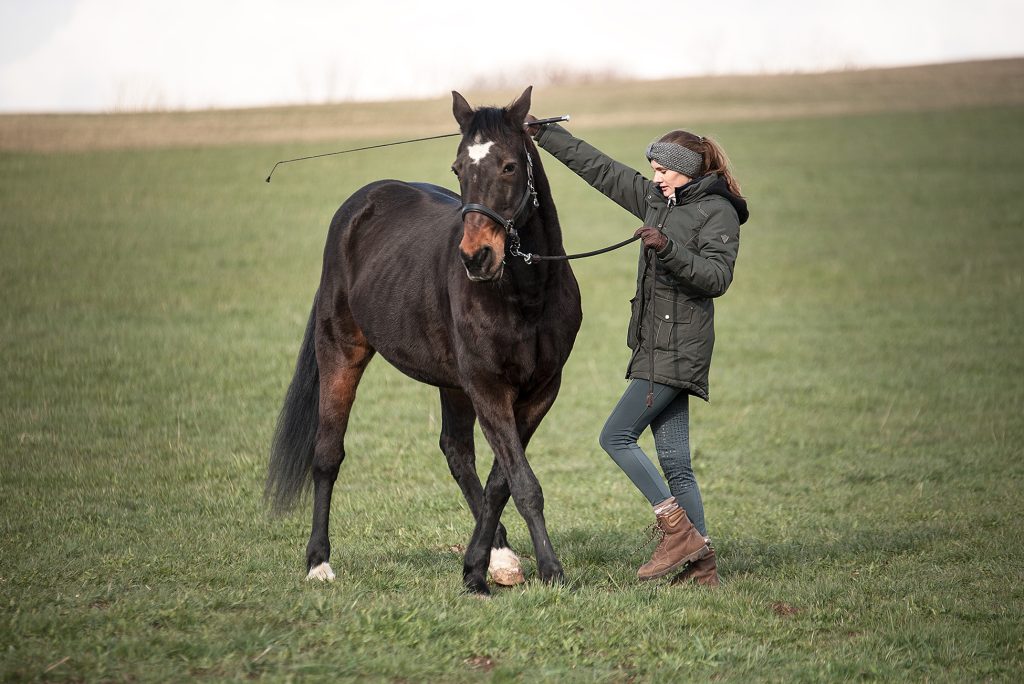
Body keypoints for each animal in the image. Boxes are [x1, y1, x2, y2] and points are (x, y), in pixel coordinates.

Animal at [268, 88, 581, 593]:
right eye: (458, 168)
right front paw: (549, 570)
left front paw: (481, 566)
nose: (476, 257)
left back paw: (499, 557)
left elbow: (502, 480)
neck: (525, 293)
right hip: (341, 352)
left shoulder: (538, 391)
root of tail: (361, 204)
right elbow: (523, 483)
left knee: (457, 454)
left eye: (509, 165)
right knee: (327, 454)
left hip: (452, 383)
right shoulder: (488, 387)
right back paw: (318, 562)